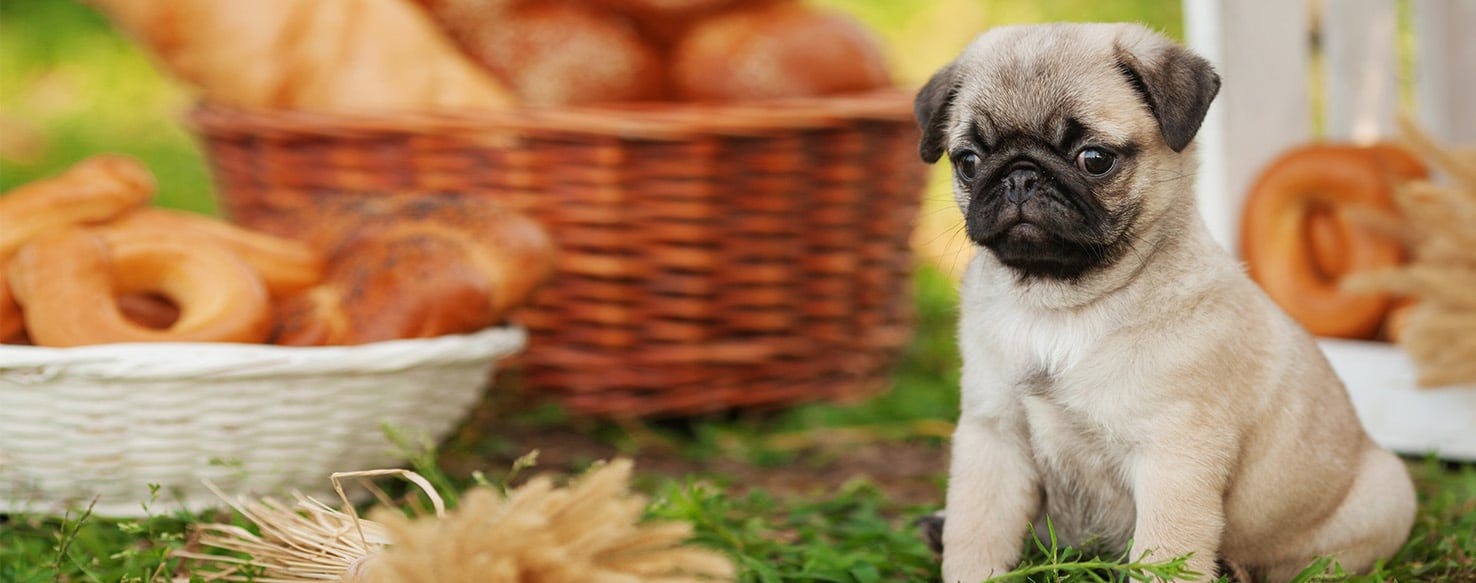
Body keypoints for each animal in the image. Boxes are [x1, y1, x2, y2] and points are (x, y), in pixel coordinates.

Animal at [915, 23, 1411, 583]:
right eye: (968, 162)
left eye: (1094, 158)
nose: (1020, 175)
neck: (1060, 305)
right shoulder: (992, 438)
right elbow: (976, 534)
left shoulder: (1174, 456)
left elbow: (1164, 550)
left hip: (1386, 496)